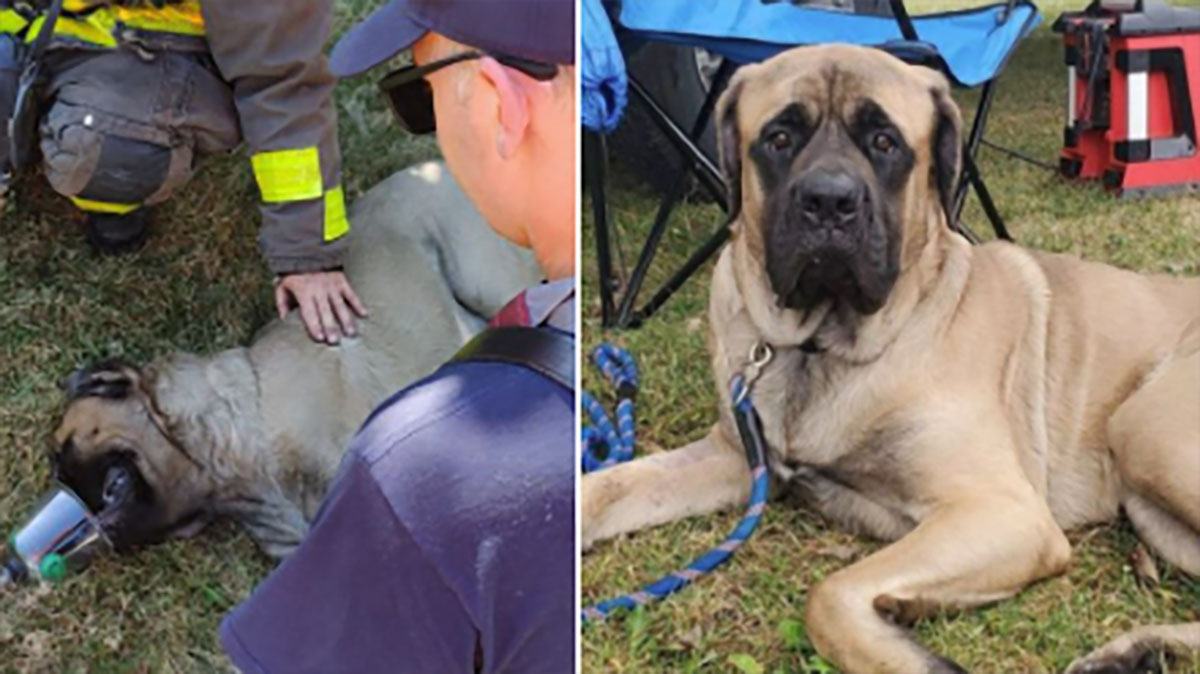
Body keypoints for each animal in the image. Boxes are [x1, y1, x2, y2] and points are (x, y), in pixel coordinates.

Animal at [576, 44, 1195, 666]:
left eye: (884, 141)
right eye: (779, 137)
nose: (828, 201)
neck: (821, 343)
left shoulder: (1003, 512)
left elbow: (829, 594)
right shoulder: (734, 457)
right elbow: (607, 486)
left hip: (1144, 432)